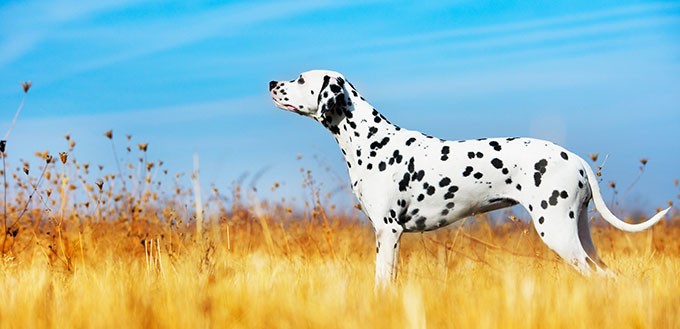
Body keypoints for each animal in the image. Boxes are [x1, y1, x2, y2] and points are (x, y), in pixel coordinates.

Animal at [268, 69, 672, 284]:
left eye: (300, 78)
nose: (271, 83)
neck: (370, 139)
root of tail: (575, 158)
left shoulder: (388, 232)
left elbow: (383, 282)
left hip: (557, 232)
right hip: (579, 234)